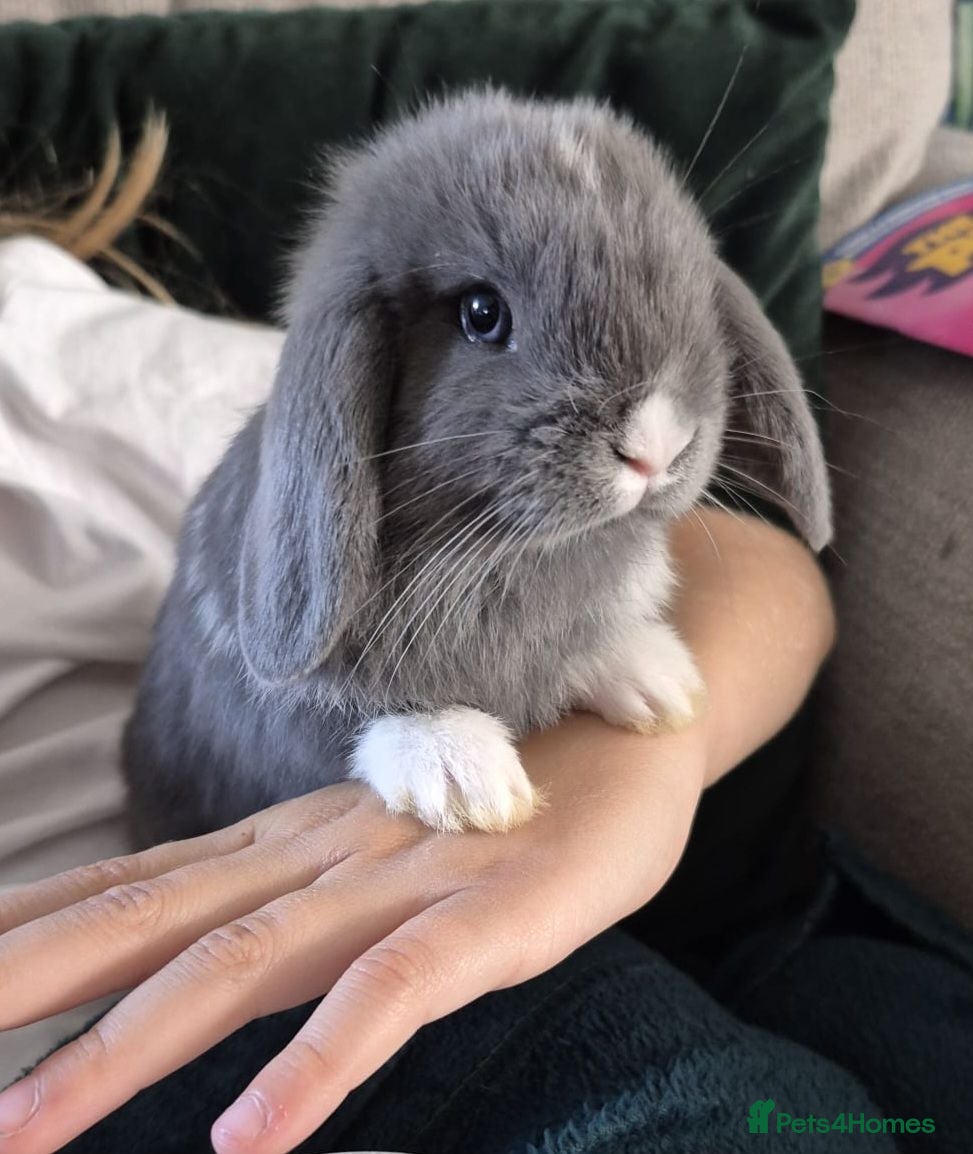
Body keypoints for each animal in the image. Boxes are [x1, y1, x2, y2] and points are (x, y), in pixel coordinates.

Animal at [122, 89, 831, 846]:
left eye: (691, 290)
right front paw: (463, 777)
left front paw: (657, 680)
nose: (657, 445)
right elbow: (349, 723)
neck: (507, 554)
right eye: (482, 313)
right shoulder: (276, 722)